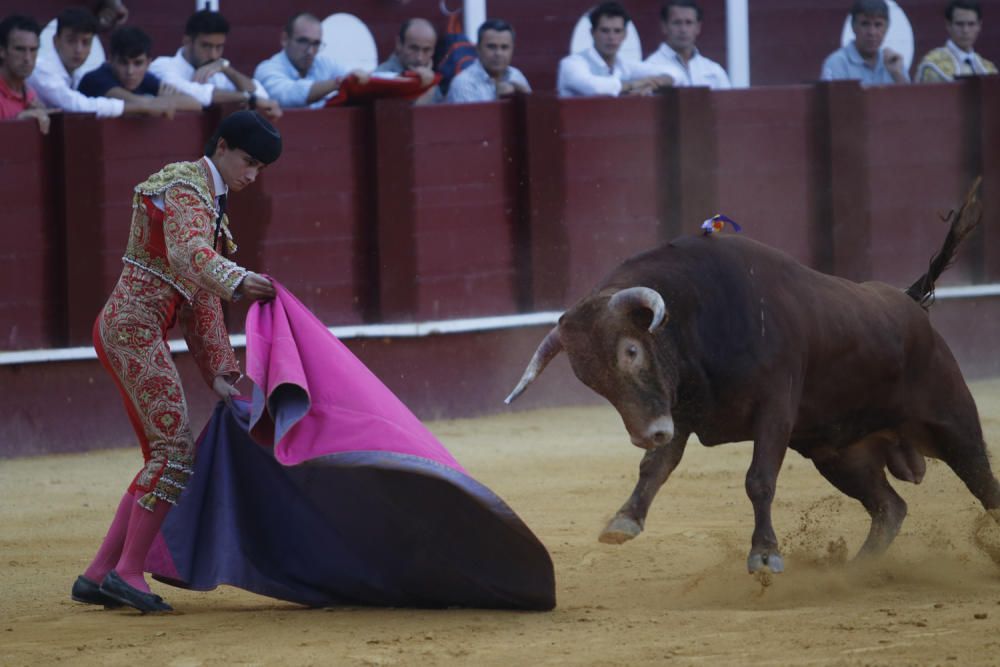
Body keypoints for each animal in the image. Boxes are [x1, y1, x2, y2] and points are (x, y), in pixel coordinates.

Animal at [508, 183, 1000, 576]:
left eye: (631, 351)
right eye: (589, 379)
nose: (647, 433)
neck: (696, 319)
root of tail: (910, 302)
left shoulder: (774, 409)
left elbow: (758, 479)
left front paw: (765, 555)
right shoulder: (678, 410)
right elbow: (656, 467)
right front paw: (622, 522)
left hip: (953, 422)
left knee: (983, 482)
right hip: (840, 453)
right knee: (890, 507)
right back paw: (858, 570)